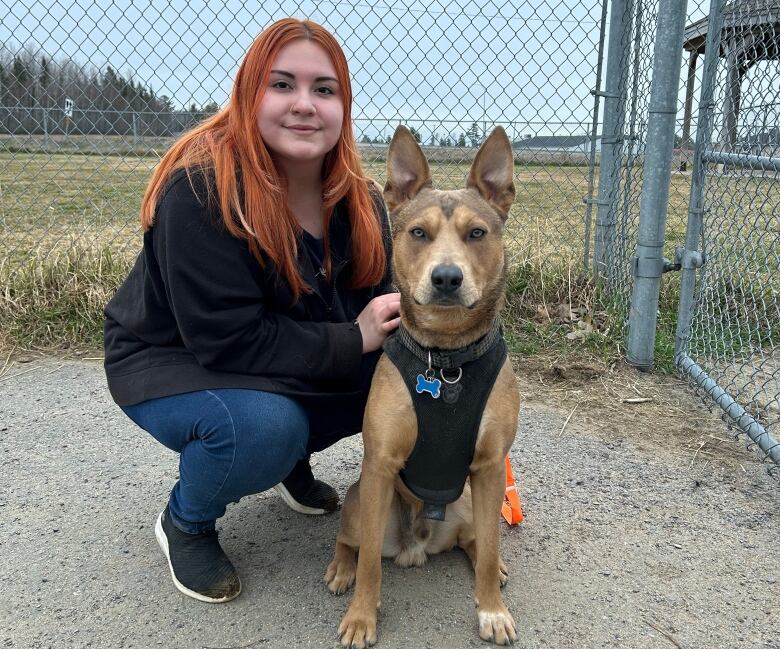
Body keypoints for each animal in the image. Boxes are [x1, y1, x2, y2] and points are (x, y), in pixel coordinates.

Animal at [326, 124, 520, 644]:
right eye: (418, 233)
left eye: (477, 233)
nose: (447, 277)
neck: (446, 358)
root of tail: (418, 543)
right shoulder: (379, 466)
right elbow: (371, 565)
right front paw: (361, 617)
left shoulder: (490, 468)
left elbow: (489, 549)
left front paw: (492, 611)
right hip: (361, 502)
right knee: (351, 541)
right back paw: (340, 567)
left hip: (470, 504)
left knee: (478, 544)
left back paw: (495, 571)